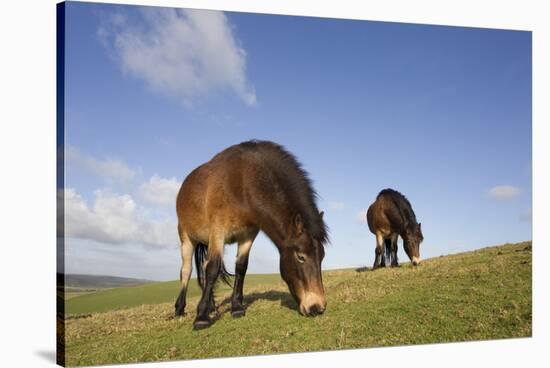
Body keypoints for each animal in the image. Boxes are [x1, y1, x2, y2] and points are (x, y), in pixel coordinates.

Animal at [175, 139, 328, 330]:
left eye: (322, 256)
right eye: (301, 257)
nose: (317, 307)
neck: (242, 183)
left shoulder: (248, 235)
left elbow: (241, 267)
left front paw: (236, 307)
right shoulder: (217, 232)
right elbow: (213, 269)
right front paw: (201, 317)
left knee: (202, 266)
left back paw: (210, 306)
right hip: (186, 237)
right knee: (186, 270)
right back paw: (180, 309)